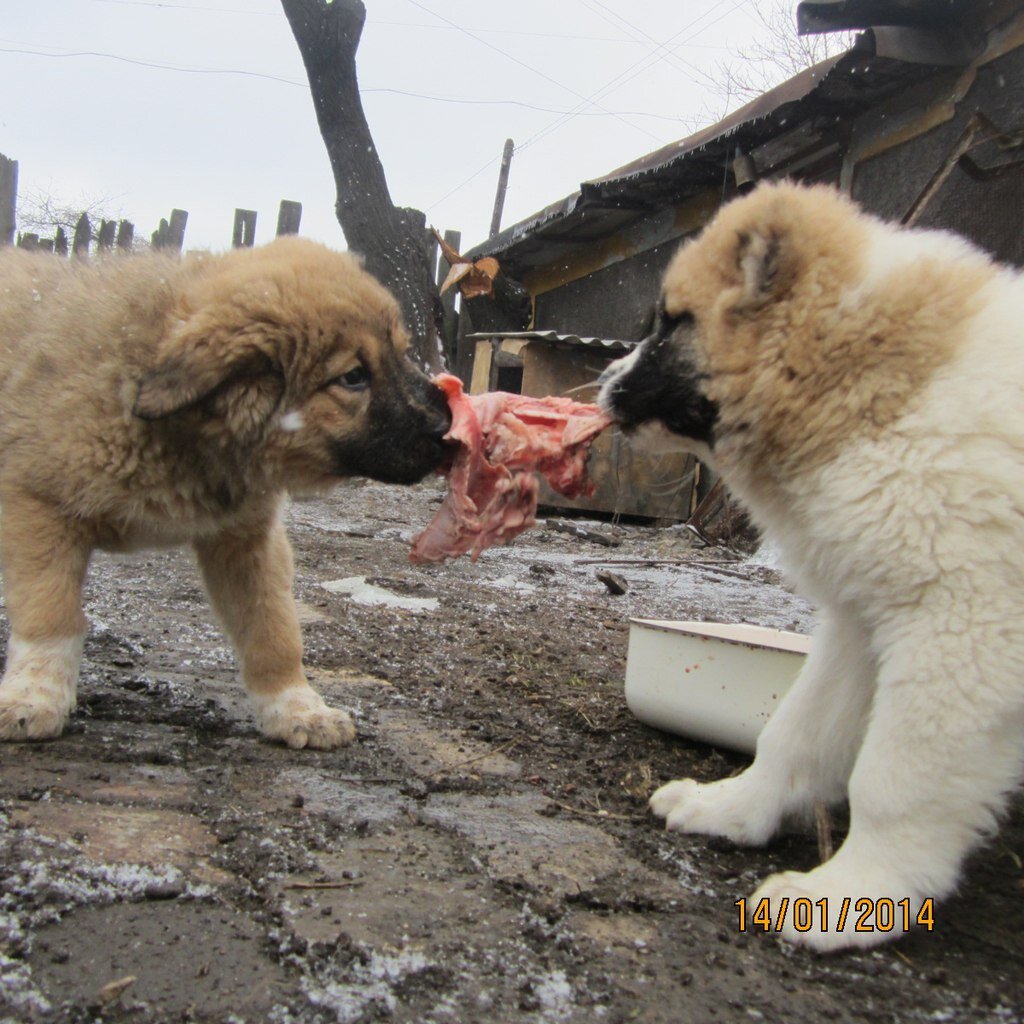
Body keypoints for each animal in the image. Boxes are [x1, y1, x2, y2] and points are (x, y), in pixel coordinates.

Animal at [0, 239, 450, 753]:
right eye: (353, 377)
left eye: (402, 354)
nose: (450, 427)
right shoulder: (39, 507)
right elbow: (50, 614)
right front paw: (33, 696)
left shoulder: (248, 539)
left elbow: (273, 630)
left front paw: (295, 707)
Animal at [598, 182, 1024, 950]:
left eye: (672, 324)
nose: (603, 378)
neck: (860, 372)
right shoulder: (860, 621)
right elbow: (796, 730)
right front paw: (736, 808)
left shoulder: (961, 629)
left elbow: (895, 777)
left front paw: (856, 893)